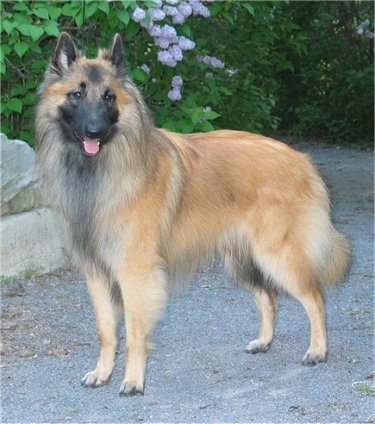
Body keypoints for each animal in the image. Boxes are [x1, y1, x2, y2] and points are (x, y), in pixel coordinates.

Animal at [35, 33, 352, 398]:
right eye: (77, 94)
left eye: (109, 96)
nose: (94, 131)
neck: (100, 171)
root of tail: (302, 160)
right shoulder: (97, 274)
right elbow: (106, 331)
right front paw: (102, 373)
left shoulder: (135, 273)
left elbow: (134, 334)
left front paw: (133, 381)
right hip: (241, 259)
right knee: (268, 296)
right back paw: (264, 341)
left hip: (277, 255)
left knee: (314, 298)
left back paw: (318, 350)